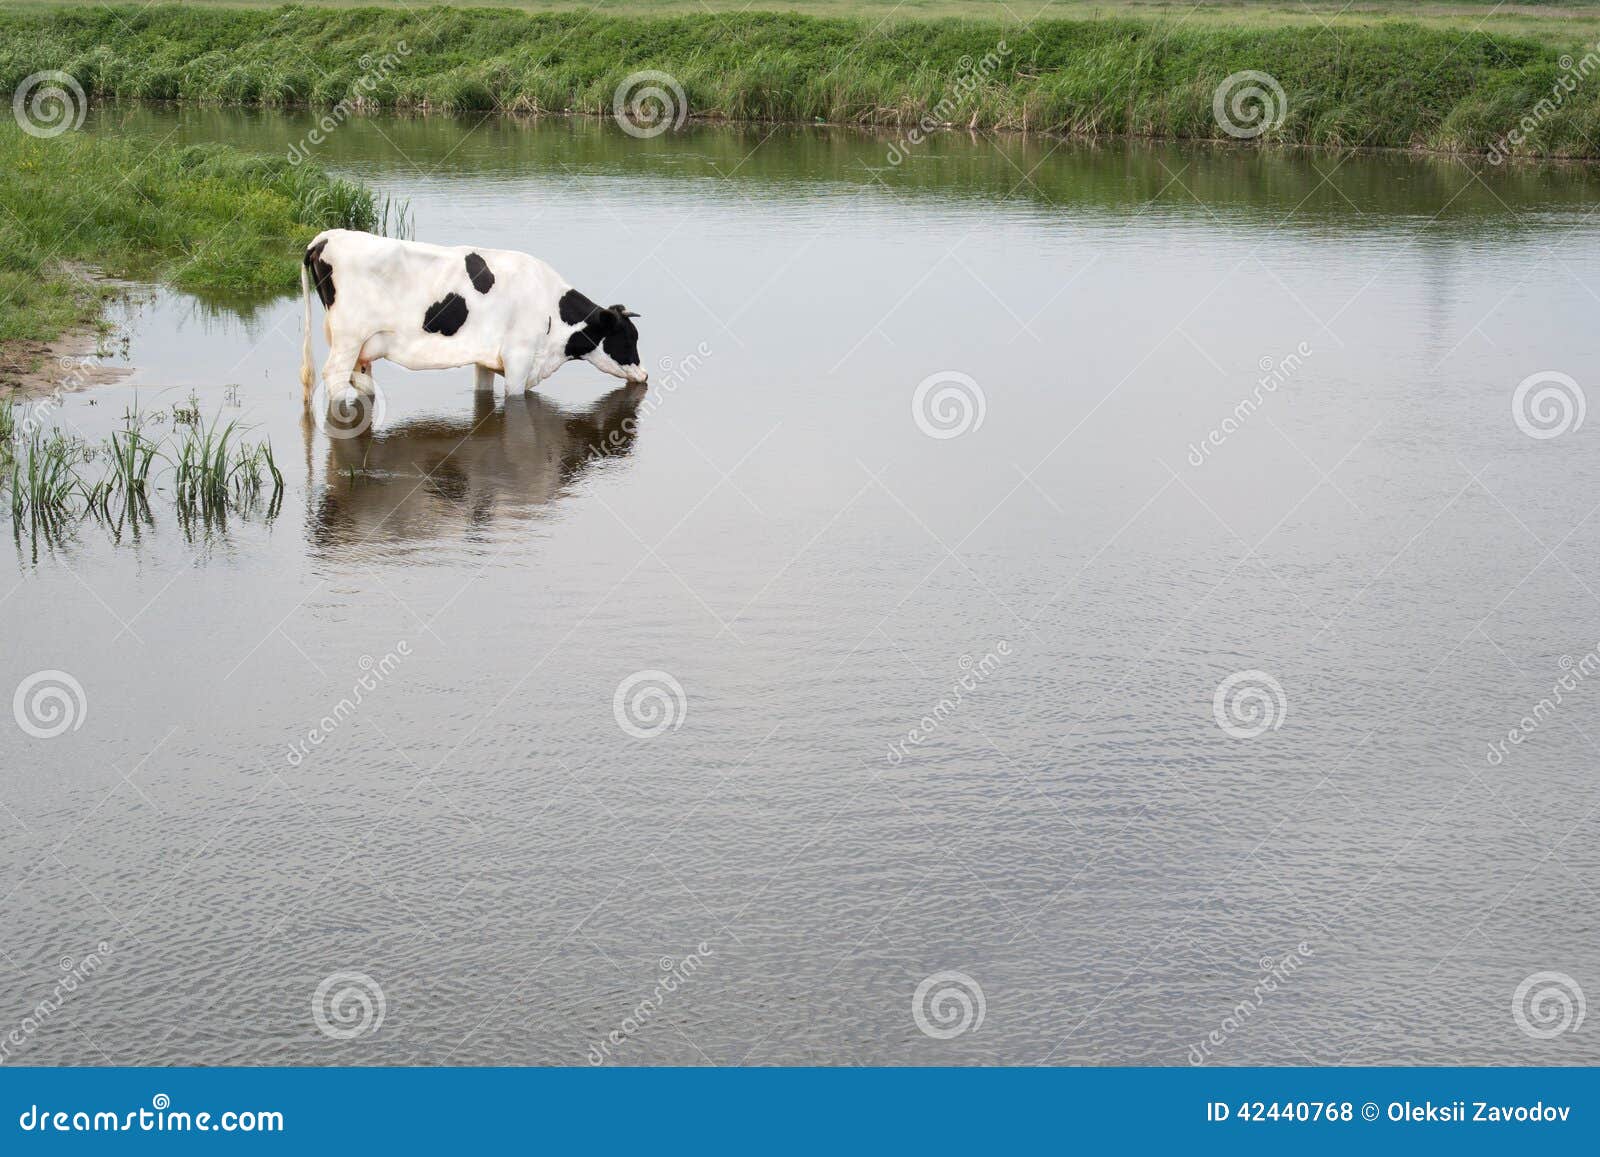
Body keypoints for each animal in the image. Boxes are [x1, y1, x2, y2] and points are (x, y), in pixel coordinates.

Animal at [298, 229, 646, 405]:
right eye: (629, 337)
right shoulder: (519, 360)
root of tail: (324, 237)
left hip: (361, 348)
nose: (644, 375)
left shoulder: (486, 358)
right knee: (334, 377)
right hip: (348, 336)